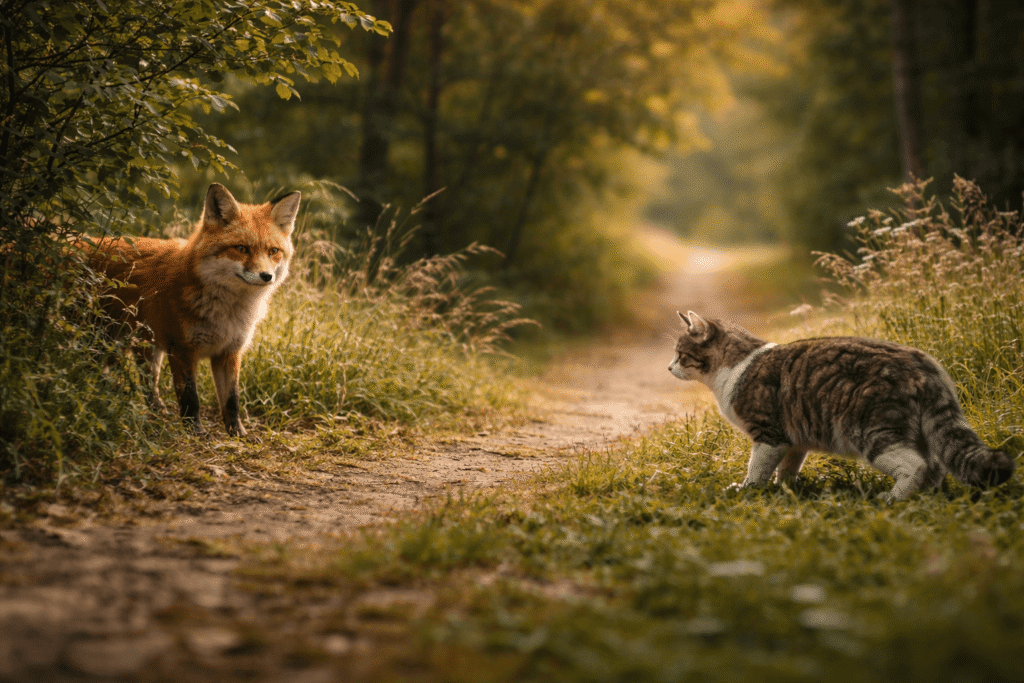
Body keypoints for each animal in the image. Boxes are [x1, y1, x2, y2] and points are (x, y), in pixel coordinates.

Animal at [77, 183, 300, 436]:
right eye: (241, 248)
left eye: (273, 251)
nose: (266, 276)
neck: (227, 313)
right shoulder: (181, 349)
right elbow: (190, 397)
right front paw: (194, 431)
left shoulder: (229, 352)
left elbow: (231, 400)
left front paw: (238, 433)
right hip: (96, 339)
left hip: (144, 347)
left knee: (148, 383)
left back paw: (156, 410)